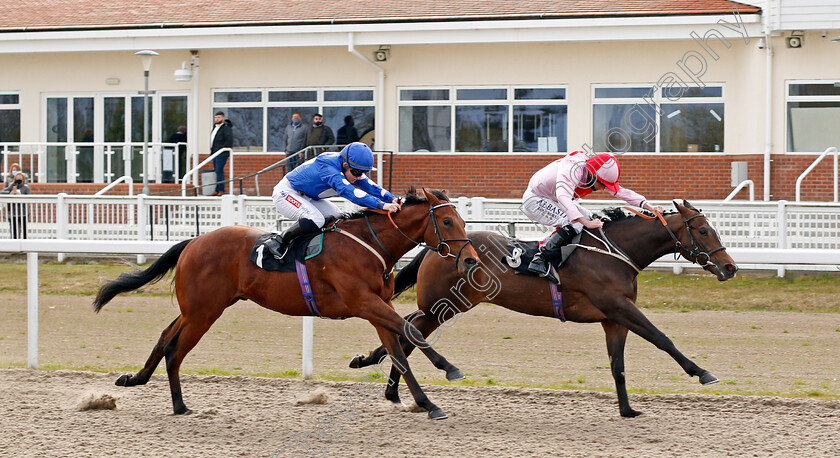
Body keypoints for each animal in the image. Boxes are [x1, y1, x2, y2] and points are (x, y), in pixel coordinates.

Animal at [92, 187, 480, 418]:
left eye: (462, 220)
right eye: (447, 221)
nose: (470, 261)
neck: (370, 245)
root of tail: (193, 242)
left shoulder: (375, 307)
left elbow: (399, 351)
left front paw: (426, 403)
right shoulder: (364, 303)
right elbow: (412, 334)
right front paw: (449, 369)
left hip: (198, 308)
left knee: (164, 336)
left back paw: (136, 379)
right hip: (203, 312)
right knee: (175, 349)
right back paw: (179, 405)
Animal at [352, 202, 740, 416]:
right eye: (703, 231)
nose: (731, 267)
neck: (614, 253)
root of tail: (439, 247)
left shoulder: (613, 319)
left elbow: (617, 365)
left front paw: (628, 410)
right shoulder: (620, 308)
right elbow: (662, 338)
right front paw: (702, 372)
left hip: (445, 306)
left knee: (406, 332)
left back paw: (389, 386)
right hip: (444, 304)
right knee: (408, 331)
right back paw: (394, 383)